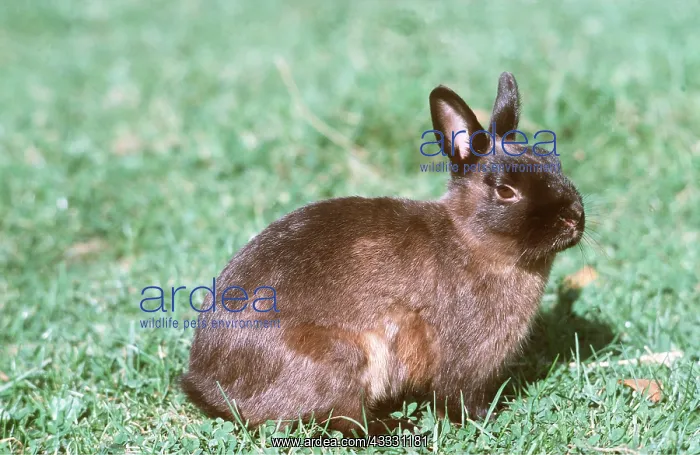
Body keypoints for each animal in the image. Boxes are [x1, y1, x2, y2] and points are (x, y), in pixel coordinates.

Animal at [180, 72, 585, 436]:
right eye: (505, 191)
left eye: (554, 164)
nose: (574, 217)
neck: (471, 240)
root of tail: (207, 383)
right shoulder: (463, 359)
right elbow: (458, 397)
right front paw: (485, 419)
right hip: (343, 360)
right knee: (343, 419)